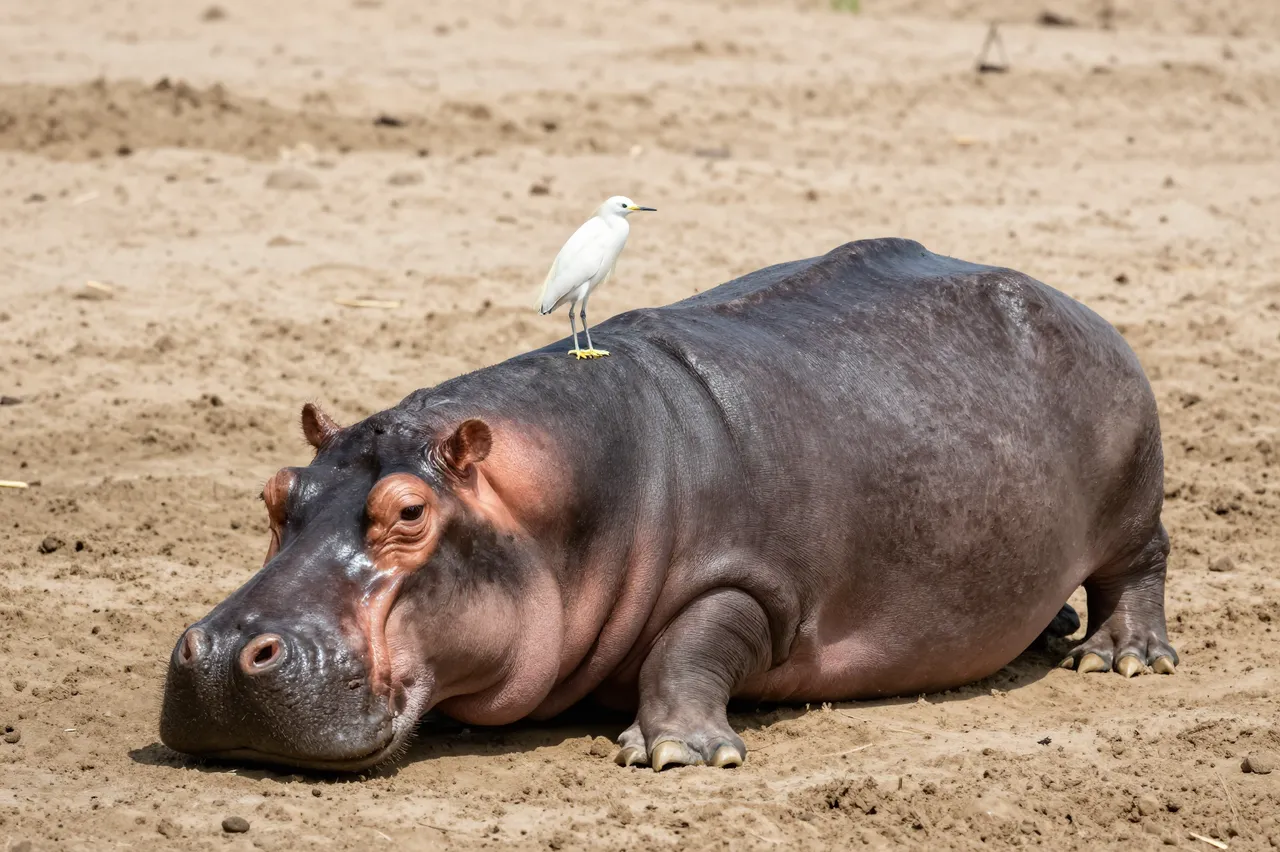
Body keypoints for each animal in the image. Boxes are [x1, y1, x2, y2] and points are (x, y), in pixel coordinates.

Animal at [160, 237, 1177, 772]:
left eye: (409, 513)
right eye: (274, 492)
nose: (218, 653)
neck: (550, 495)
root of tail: (1063, 294)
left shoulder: (755, 585)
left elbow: (693, 642)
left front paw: (679, 754)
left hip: (1134, 503)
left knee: (1141, 569)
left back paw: (1119, 660)